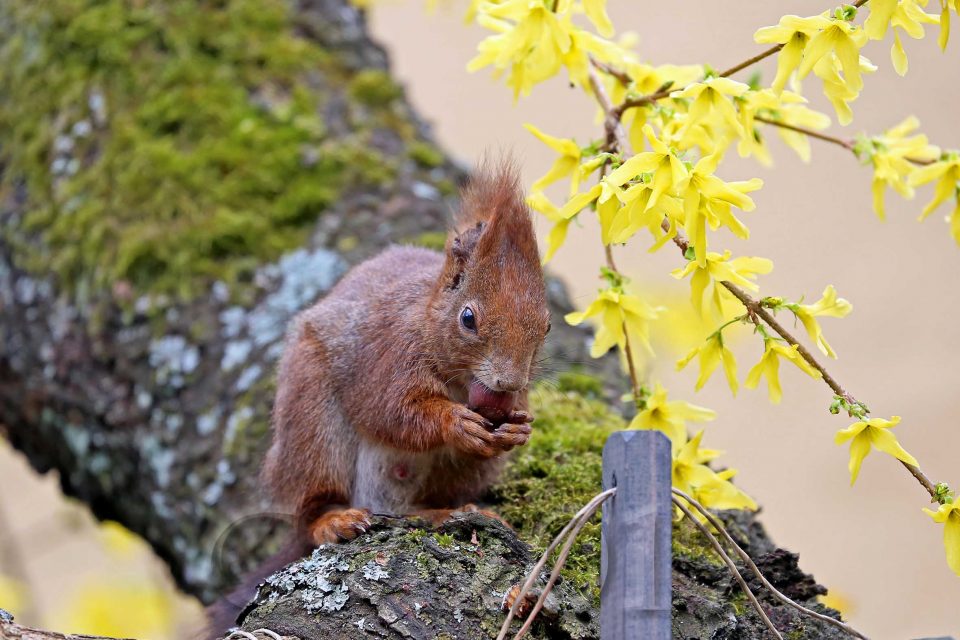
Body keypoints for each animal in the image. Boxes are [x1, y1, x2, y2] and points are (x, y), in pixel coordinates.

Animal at [207, 159, 550, 634]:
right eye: (468, 318)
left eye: (547, 325)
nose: (508, 382)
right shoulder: (387, 356)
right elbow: (391, 412)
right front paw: (454, 423)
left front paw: (517, 429)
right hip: (313, 432)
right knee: (311, 509)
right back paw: (332, 520)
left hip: (457, 475)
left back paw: (448, 511)